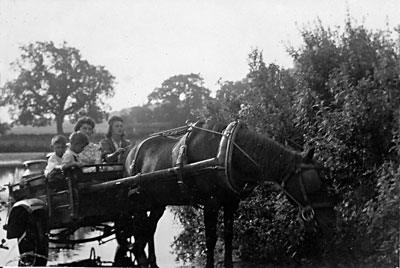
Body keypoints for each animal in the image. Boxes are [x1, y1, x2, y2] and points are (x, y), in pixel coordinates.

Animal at [122, 121, 334, 268]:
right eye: (316, 183)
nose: (331, 222)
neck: (227, 154)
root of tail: (130, 151)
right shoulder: (211, 203)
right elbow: (210, 239)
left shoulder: (232, 202)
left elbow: (228, 234)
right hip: (138, 203)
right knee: (140, 232)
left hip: (158, 203)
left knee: (149, 229)